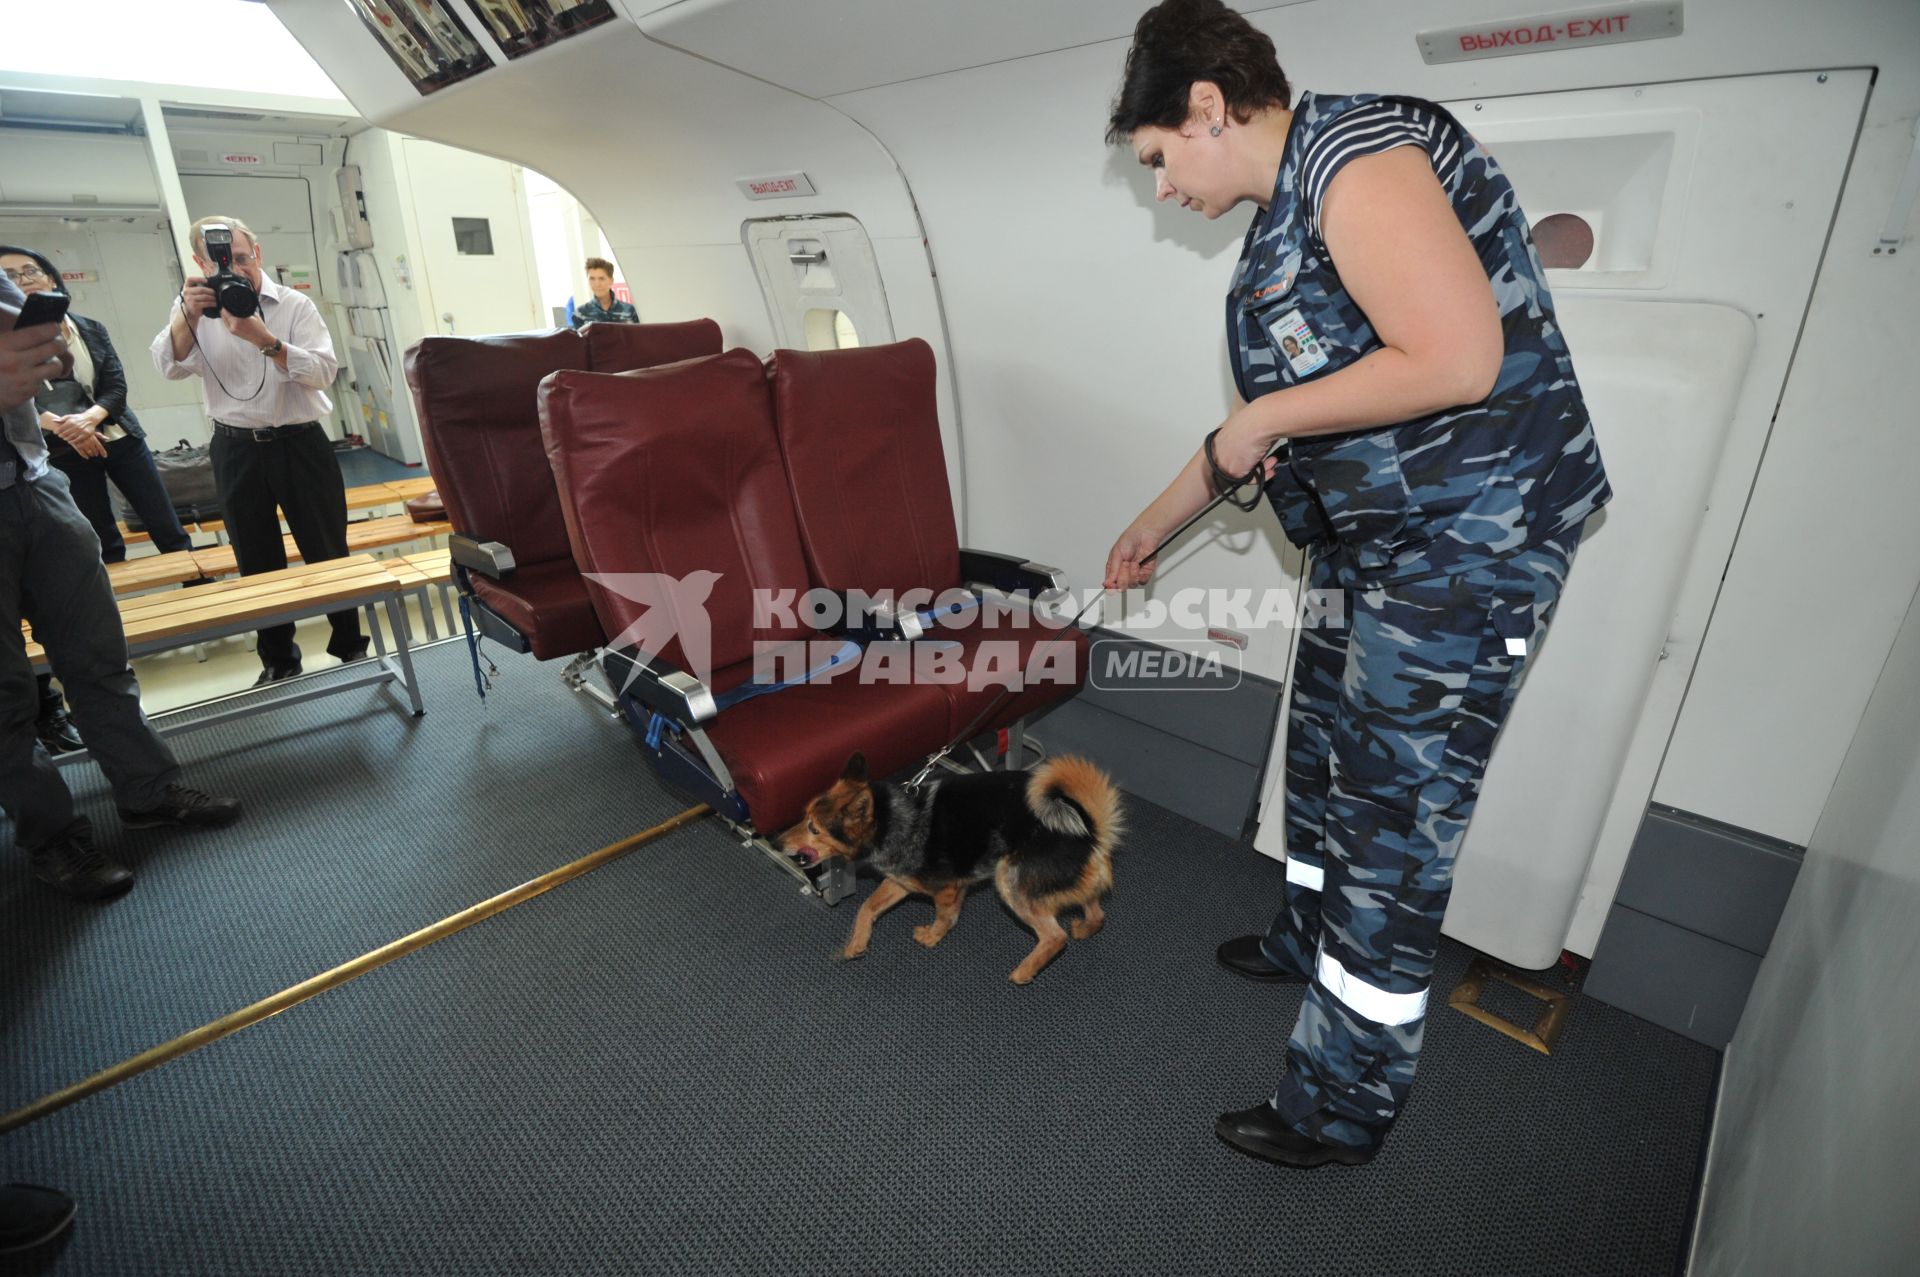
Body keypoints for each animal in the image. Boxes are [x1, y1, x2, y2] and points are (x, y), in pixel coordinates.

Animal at [783, 752, 1121, 979]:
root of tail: (1089, 832)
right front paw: (857, 943)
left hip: (1009, 880)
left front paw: (932, 938)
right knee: (1096, 911)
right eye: (805, 816)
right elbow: (867, 907)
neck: (893, 818)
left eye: (814, 828)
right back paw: (1085, 928)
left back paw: (1023, 973)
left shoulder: (947, 889)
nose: (778, 840)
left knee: (1054, 937)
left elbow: (945, 917)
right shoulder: (900, 881)